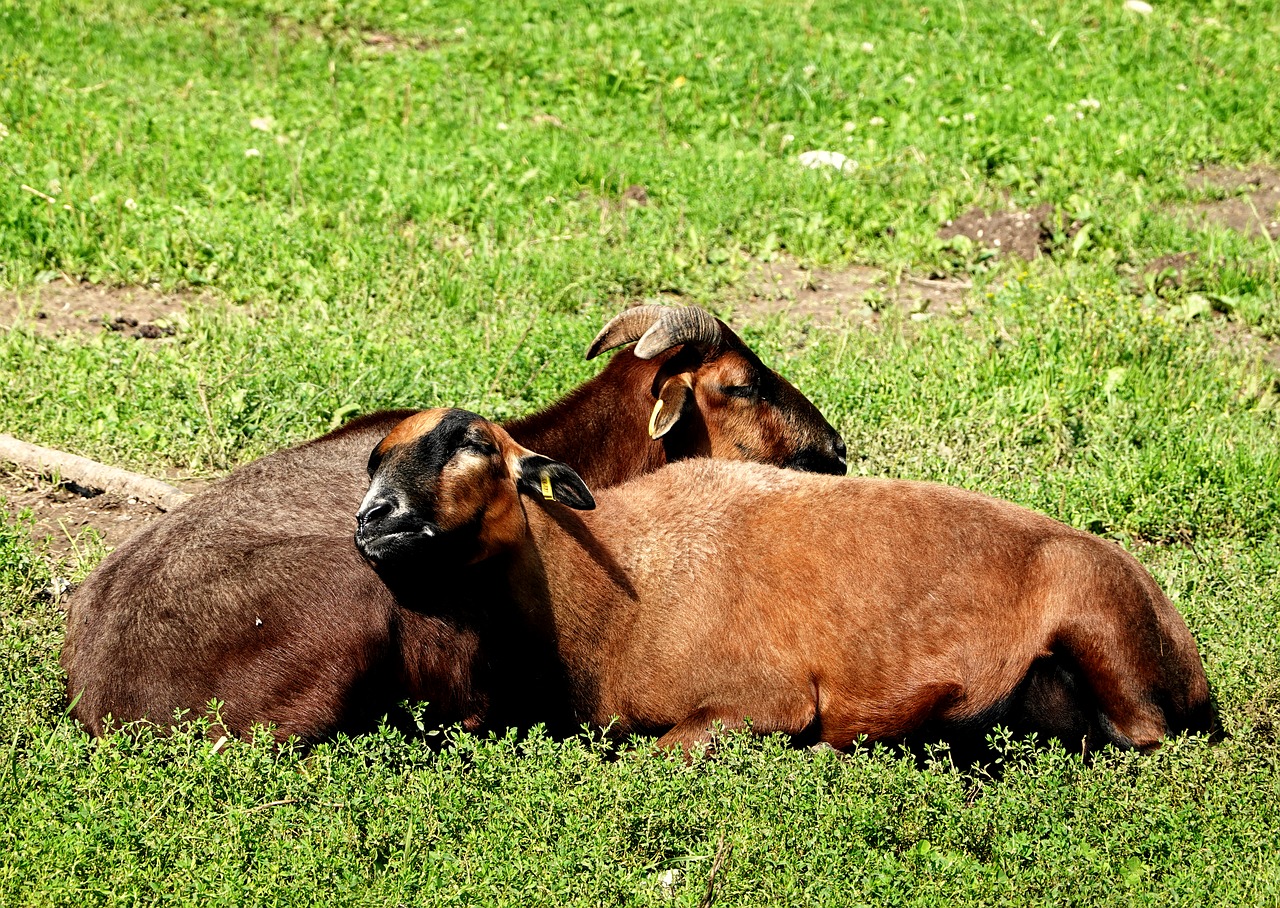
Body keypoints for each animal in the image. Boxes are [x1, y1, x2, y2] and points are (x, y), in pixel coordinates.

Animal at [358, 407, 1208, 753]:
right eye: (373, 459)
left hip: (1096, 624)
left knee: (1139, 737)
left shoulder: (765, 698)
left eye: (474, 444)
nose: (372, 520)